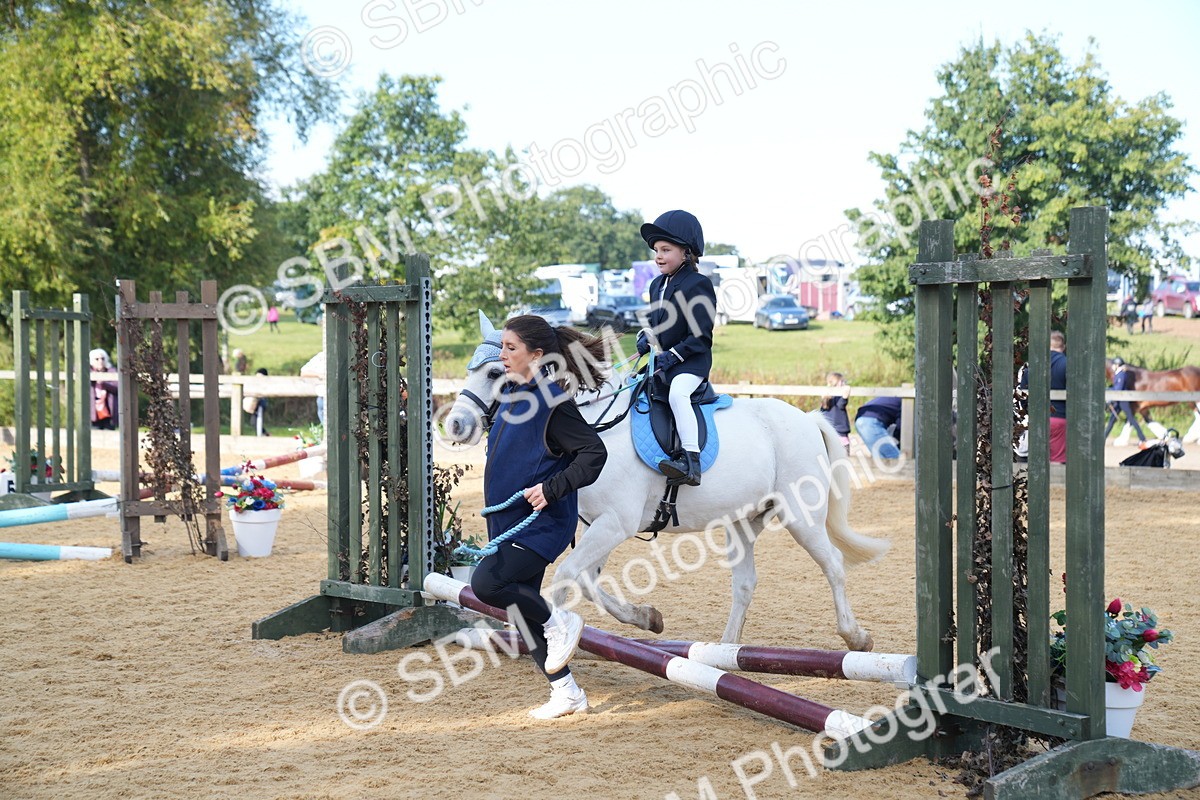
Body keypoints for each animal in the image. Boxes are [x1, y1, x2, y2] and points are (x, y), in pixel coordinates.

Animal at [442, 318, 891, 650]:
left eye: (496, 370)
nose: (455, 425)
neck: (596, 424)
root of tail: (808, 419)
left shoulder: (616, 523)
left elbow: (568, 576)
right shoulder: (600, 525)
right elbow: (587, 581)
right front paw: (647, 617)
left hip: (800, 515)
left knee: (833, 563)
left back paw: (856, 637)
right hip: (743, 521)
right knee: (745, 583)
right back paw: (726, 651)